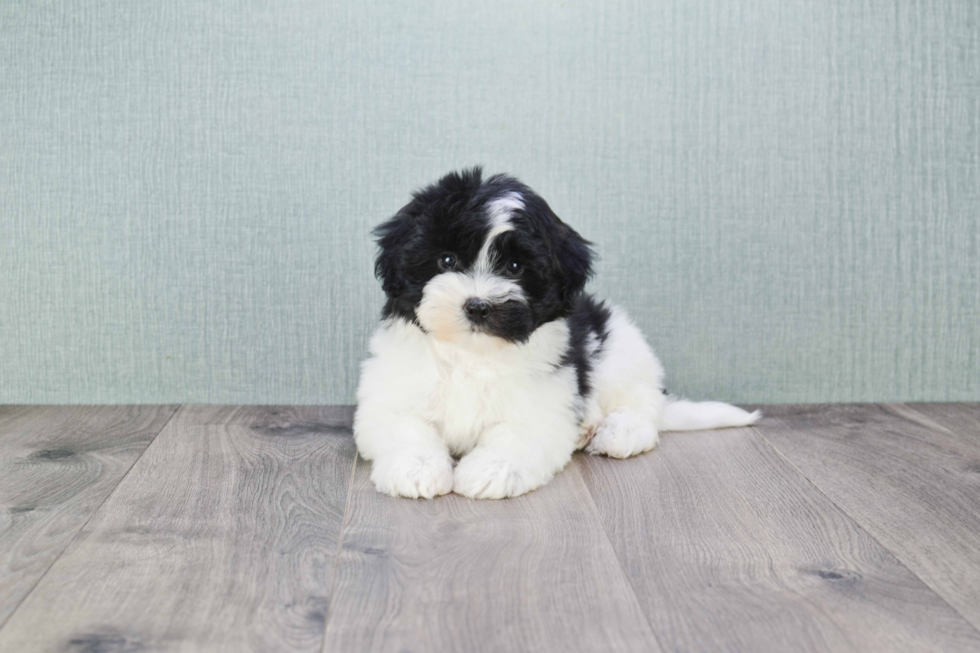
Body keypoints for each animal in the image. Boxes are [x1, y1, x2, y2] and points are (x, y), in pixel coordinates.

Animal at [352, 168, 756, 500]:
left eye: (515, 267)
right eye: (447, 260)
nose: (478, 306)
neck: (473, 353)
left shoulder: (543, 403)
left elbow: (515, 436)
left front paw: (492, 470)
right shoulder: (393, 392)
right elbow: (406, 427)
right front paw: (416, 468)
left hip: (618, 351)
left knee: (642, 403)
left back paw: (618, 432)